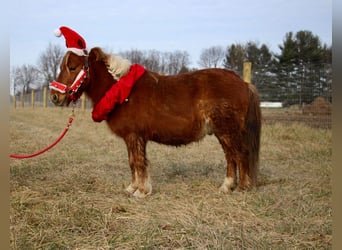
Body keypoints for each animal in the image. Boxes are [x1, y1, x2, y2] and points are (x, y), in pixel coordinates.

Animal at [49, 47, 260, 198]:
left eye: (73, 68)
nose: (55, 97)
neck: (122, 92)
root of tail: (243, 83)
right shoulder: (132, 138)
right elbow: (133, 162)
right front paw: (132, 188)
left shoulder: (134, 136)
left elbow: (138, 162)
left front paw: (141, 191)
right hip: (223, 133)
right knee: (231, 157)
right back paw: (226, 186)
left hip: (227, 131)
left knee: (240, 154)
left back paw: (241, 188)